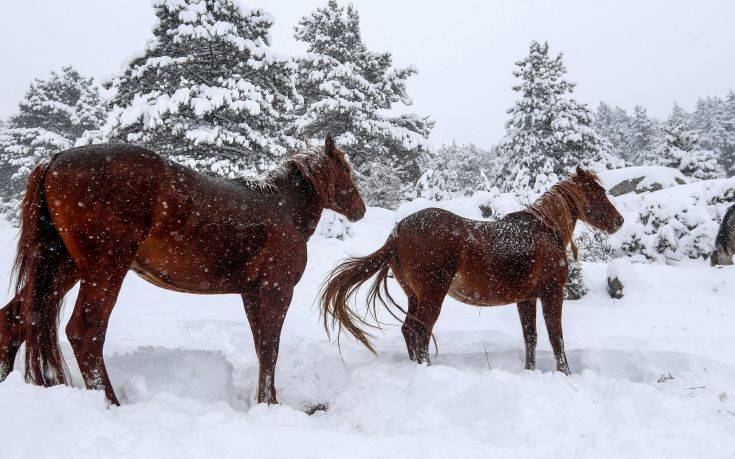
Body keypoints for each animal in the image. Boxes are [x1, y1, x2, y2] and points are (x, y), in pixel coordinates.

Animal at [0, 135, 366, 404]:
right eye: (346, 170)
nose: (360, 209)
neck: (282, 207)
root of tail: (54, 160)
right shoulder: (276, 291)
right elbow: (270, 349)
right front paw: (270, 403)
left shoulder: (252, 294)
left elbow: (262, 348)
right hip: (104, 270)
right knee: (85, 332)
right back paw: (110, 403)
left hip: (62, 268)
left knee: (16, 319)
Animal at [320, 167, 620, 376]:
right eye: (599, 193)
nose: (619, 221)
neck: (545, 230)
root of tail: (397, 232)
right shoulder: (551, 294)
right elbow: (556, 338)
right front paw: (565, 374)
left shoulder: (526, 299)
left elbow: (531, 339)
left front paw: (530, 371)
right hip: (432, 295)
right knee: (421, 332)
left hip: (415, 295)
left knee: (410, 330)